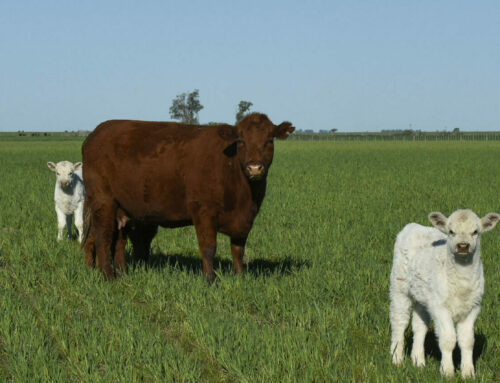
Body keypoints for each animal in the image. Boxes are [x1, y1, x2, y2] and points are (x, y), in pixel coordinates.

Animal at [81, 112, 292, 280]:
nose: (254, 167)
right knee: (102, 238)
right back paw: (108, 276)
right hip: (103, 202)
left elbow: (238, 250)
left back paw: (122, 273)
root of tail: (97, 131)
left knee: (119, 242)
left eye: (269, 140)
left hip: (123, 208)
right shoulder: (204, 211)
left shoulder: (244, 219)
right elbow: (208, 248)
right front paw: (209, 280)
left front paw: (240, 277)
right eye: (241, 141)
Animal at [390, 210, 500, 378]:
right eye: (451, 231)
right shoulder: (440, 307)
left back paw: (418, 361)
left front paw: (468, 372)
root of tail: (413, 225)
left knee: (419, 325)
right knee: (399, 320)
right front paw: (447, 371)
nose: (463, 246)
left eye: (475, 232)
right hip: (399, 285)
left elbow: (467, 340)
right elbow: (448, 339)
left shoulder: (473, 306)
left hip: (424, 295)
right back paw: (397, 358)